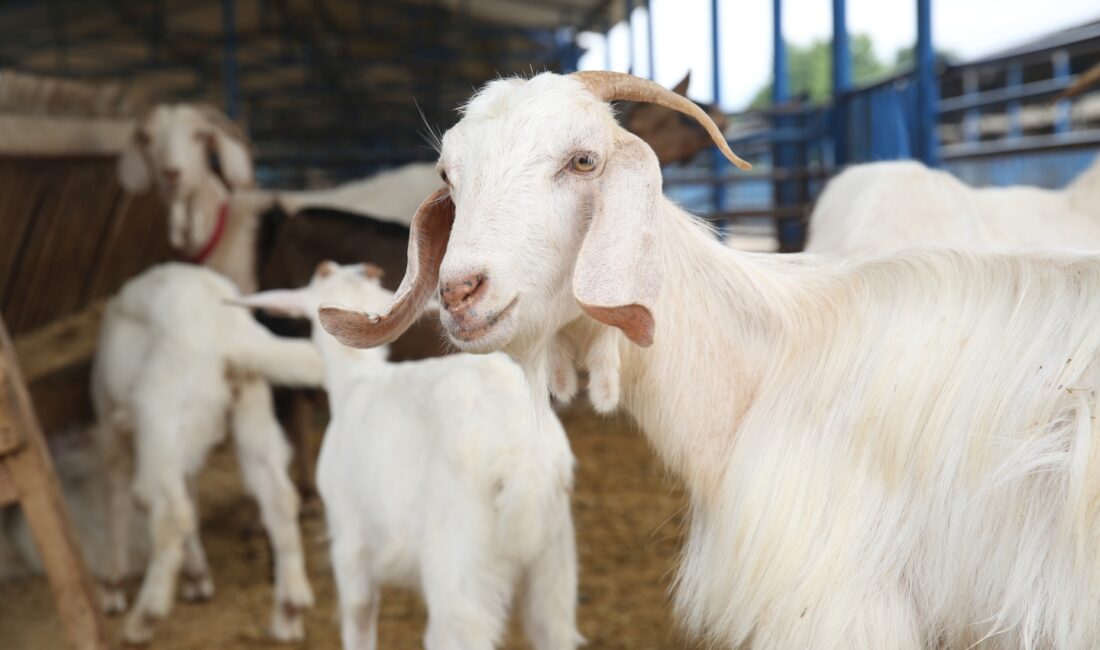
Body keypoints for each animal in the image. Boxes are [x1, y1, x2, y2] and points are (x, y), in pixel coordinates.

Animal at [93, 261, 321, 642]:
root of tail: (229, 332)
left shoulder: (113, 428)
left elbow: (117, 498)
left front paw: (112, 587)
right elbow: (192, 493)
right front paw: (196, 576)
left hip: (161, 420)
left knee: (170, 513)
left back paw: (143, 619)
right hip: (252, 410)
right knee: (279, 497)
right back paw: (289, 610)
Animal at [236, 260, 580, 650]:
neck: (357, 376)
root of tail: (522, 463)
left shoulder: (349, 541)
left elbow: (358, 619)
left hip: (460, 573)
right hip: (554, 568)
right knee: (552, 627)